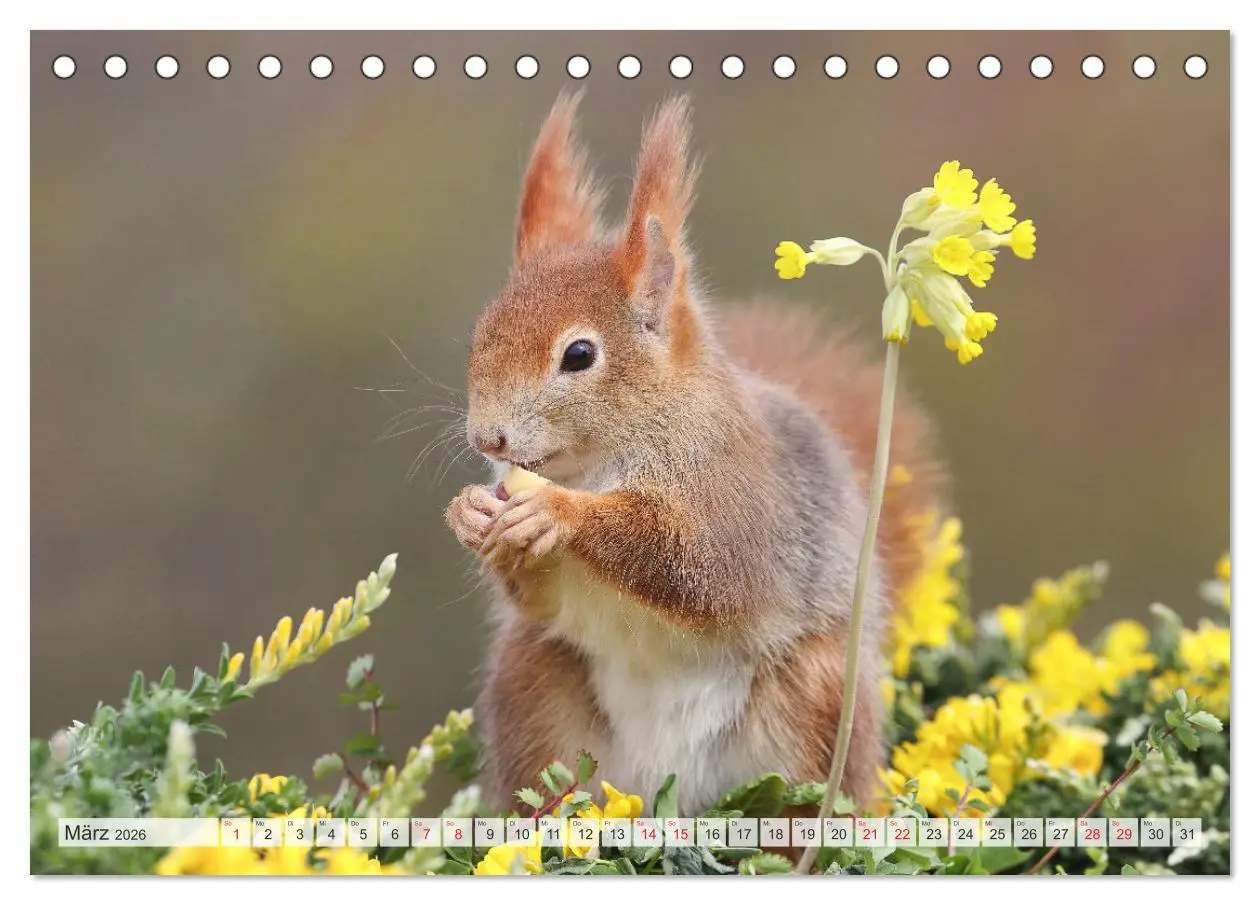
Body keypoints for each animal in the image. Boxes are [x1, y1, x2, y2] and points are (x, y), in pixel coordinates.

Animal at [444, 93, 946, 816]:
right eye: (482, 334)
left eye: (579, 355)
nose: (488, 439)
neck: (600, 462)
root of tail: (665, 786)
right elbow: (539, 602)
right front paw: (469, 513)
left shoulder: (738, 497)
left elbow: (696, 562)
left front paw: (555, 513)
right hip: (535, 688)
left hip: (809, 705)